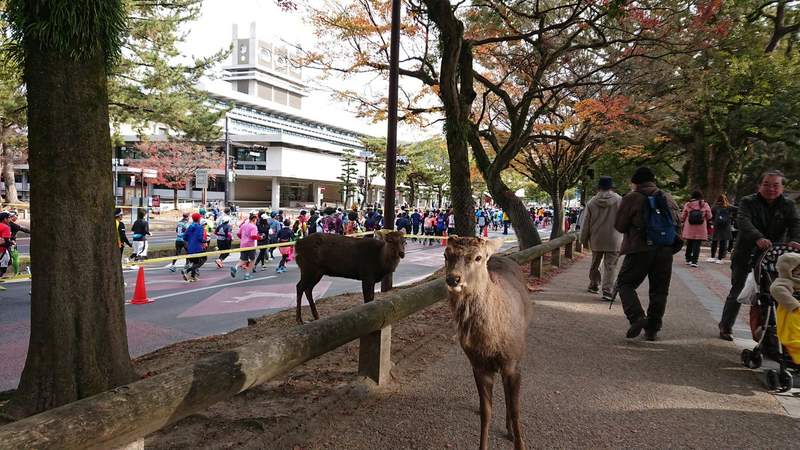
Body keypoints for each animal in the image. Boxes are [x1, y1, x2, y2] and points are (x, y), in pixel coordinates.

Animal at [444, 236, 530, 450]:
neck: (491, 342)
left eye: (478, 257)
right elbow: (486, 412)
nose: (453, 279)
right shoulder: (478, 365)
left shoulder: (513, 362)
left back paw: (510, 430)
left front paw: (519, 443)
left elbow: (516, 409)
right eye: (446, 254)